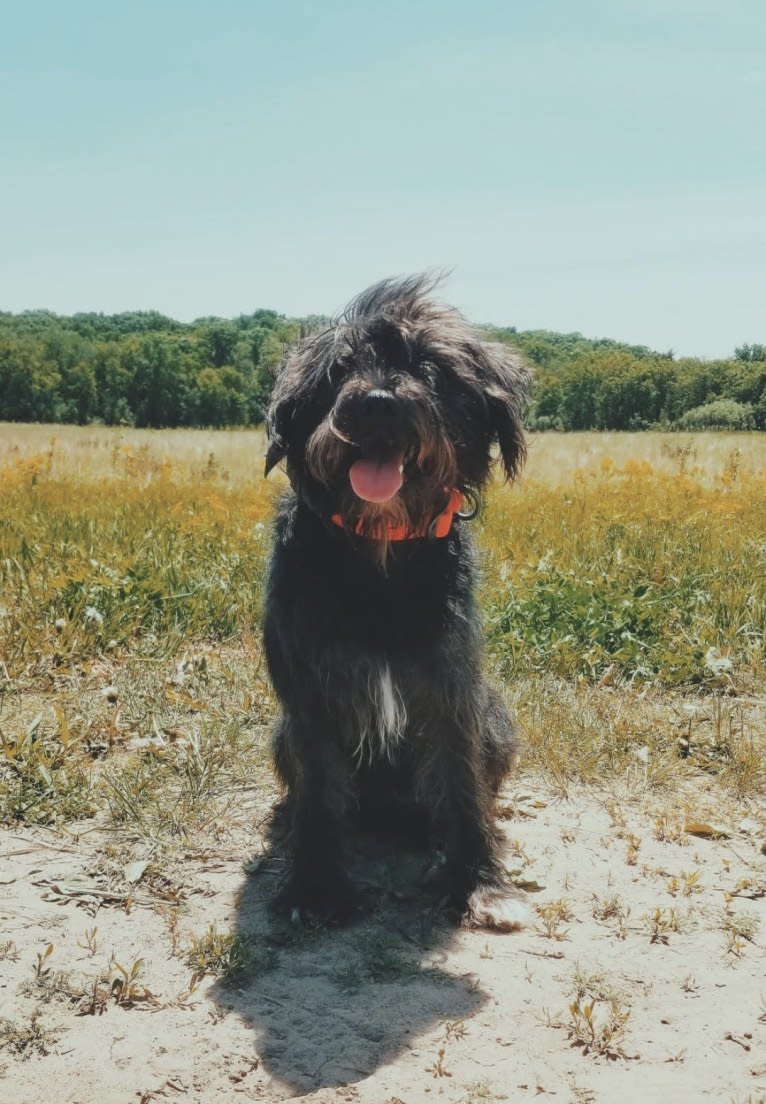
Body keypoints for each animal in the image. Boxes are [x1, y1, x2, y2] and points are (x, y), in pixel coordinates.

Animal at [261, 271, 532, 927]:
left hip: (498, 719)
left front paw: (479, 881)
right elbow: (318, 794)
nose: (378, 403)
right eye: (339, 369)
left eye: (430, 366)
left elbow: (461, 787)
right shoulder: (309, 701)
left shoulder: (451, 690)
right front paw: (313, 885)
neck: (378, 552)